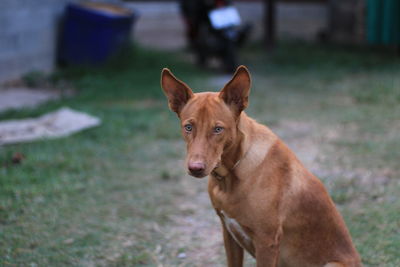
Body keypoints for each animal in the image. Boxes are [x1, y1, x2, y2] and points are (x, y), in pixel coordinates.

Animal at [161, 65, 360, 267]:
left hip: (332, 263)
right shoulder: (228, 232)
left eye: (218, 129)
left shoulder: (267, 241)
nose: (195, 168)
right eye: (188, 127)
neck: (229, 176)